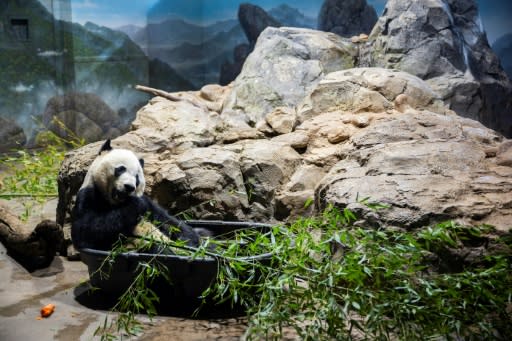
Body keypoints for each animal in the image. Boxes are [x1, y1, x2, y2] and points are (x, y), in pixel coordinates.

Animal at [71, 139, 199, 252]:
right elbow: (86, 231)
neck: (116, 203)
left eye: (137, 177)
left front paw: (191, 242)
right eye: (121, 169)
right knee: (156, 249)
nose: (129, 187)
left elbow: (169, 221)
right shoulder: (88, 196)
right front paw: (136, 205)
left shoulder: (150, 204)